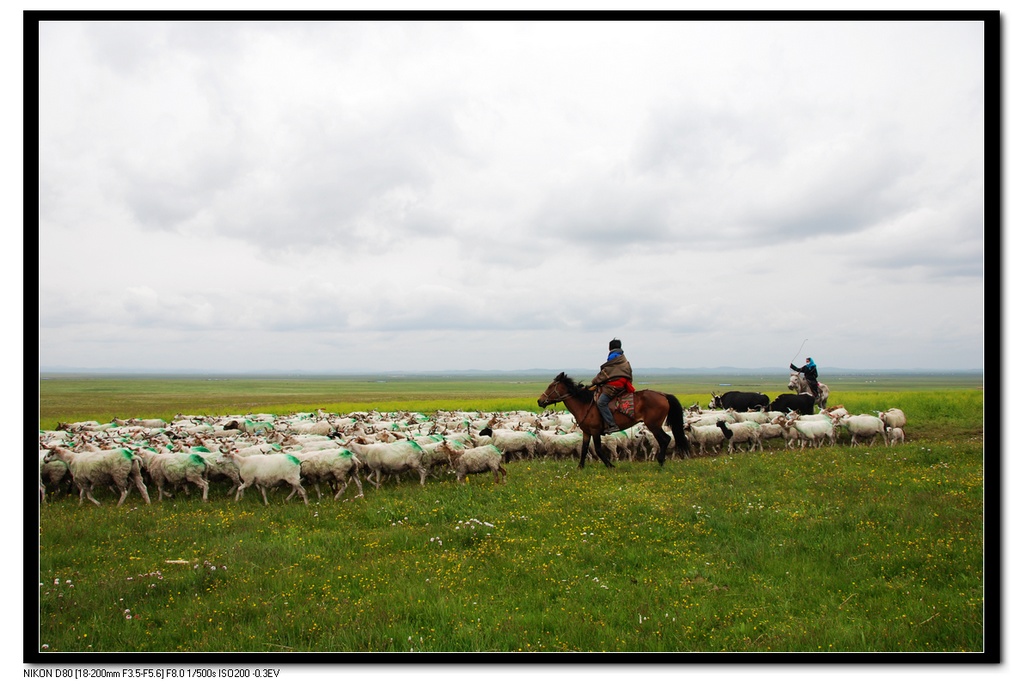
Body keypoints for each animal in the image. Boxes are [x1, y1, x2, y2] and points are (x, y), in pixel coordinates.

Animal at [540, 370, 691, 466]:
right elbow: (584, 449)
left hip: (653, 425)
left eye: (550, 386)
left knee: (665, 439)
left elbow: (598, 449)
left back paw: (660, 462)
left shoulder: (595, 431)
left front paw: (610, 465)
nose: (539, 401)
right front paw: (580, 467)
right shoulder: (587, 432)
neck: (584, 404)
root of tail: (663, 395)